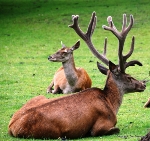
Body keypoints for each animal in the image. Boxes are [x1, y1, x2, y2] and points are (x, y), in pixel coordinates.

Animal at [7, 11, 145, 139]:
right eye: (129, 77)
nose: (143, 84)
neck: (111, 103)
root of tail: (11, 127)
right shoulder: (101, 125)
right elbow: (116, 129)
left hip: (38, 97)